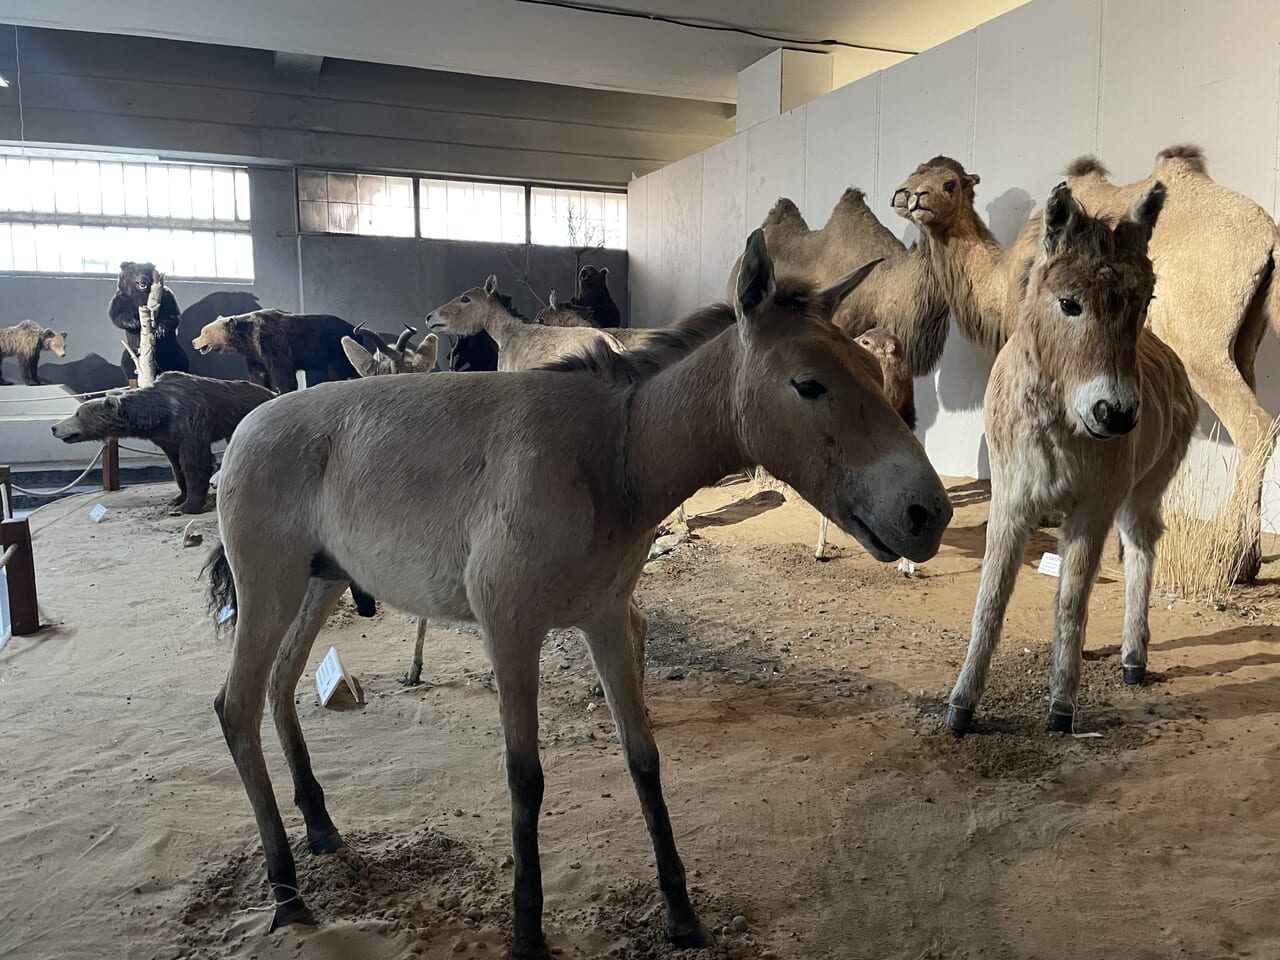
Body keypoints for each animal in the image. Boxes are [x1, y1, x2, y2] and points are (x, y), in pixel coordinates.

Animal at [50, 371, 275, 514]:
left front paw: (188, 506)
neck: (159, 414)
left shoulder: (190, 421)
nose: (54, 427)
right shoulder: (166, 437)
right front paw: (178, 498)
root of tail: (272, 393)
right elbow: (177, 466)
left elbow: (195, 462)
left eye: (78, 413)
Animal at [190, 308, 360, 391]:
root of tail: (352, 327)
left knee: (339, 370)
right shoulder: (255, 354)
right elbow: (258, 374)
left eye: (205, 332)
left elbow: (283, 375)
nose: (193, 342)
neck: (249, 338)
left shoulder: (273, 344)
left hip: (335, 348)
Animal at [896, 142, 1280, 578]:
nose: (909, 196)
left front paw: (1045, 514)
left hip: (1202, 347)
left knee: (1254, 425)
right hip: (1245, 341)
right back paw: (1245, 559)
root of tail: (1269, 237)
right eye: (916, 174)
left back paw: (1232, 559)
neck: (1002, 281)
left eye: (949, 183)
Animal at [942, 180, 1198, 737]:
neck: (1057, 429)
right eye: (1068, 303)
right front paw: (960, 706)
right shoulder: (1010, 502)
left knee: (1142, 548)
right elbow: (990, 599)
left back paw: (1133, 660)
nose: (1116, 413)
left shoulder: (1092, 509)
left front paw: (1061, 707)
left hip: (1143, 492)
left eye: (1145, 300)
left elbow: (1071, 600)